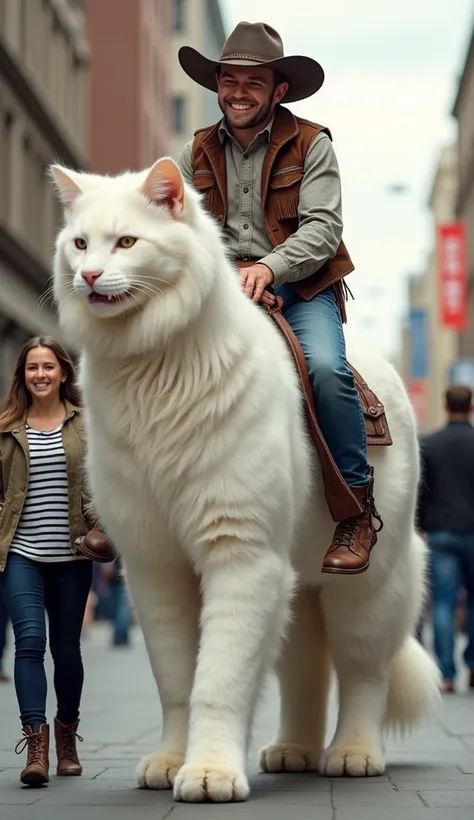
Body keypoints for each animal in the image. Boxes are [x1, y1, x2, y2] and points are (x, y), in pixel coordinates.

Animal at [51, 157, 440, 804]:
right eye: (80, 243)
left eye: (127, 242)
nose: (89, 275)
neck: (155, 371)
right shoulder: (154, 564)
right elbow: (176, 681)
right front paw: (170, 761)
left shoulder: (242, 553)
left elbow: (220, 679)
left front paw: (209, 773)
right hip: (297, 588)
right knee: (306, 670)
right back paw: (294, 752)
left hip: (366, 588)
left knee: (363, 674)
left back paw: (353, 754)